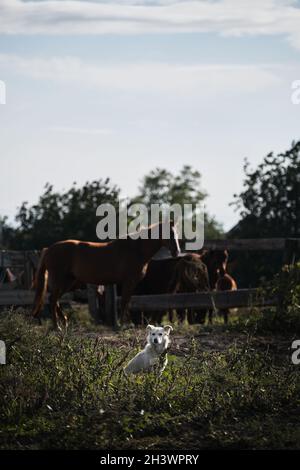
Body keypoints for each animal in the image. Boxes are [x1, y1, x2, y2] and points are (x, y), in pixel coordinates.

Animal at [31, 222, 179, 328]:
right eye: (169, 233)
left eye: (176, 233)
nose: (177, 252)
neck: (136, 249)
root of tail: (49, 249)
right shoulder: (128, 281)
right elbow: (124, 301)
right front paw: (122, 324)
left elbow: (127, 301)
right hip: (60, 280)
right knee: (53, 299)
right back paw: (57, 326)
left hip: (68, 282)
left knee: (54, 299)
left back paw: (64, 322)